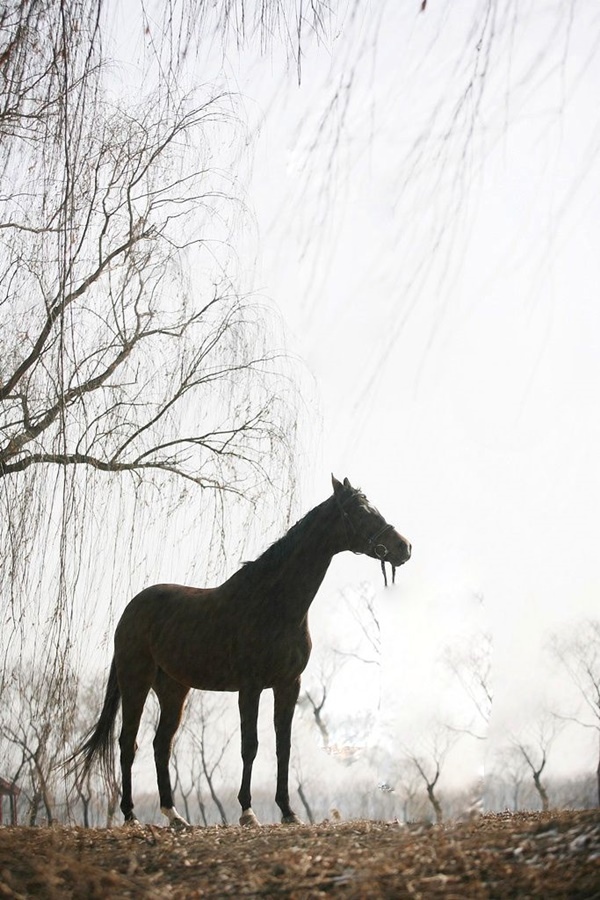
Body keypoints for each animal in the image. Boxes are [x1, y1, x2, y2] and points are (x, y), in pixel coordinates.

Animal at [72, 478, 410, 828]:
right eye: (361, 511)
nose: (404, 547)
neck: (273, 603)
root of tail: (130, 610)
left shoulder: (288, 685)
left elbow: (283, 746)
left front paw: (288, 811)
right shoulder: (250, 687)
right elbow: (251, 746)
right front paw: (248, 812)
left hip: (173, 689)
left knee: (161, 744)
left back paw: (175, 815)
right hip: (135, 682)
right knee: (128, 742)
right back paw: (131, 815)